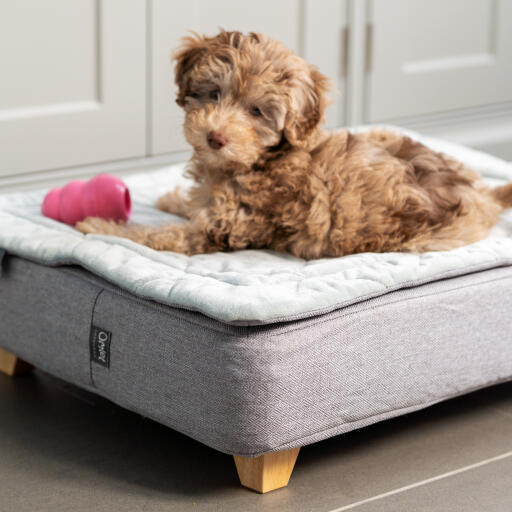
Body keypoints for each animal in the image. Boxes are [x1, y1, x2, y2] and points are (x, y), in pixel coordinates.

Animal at [75, 30, 512, 258]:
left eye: (256, 112)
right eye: (213, 94)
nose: (215, 137)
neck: (259, 161)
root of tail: (482, 192)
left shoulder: (219, 232)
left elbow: (154, 236)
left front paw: (96, 225)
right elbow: (192, 205)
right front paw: (175, 199)